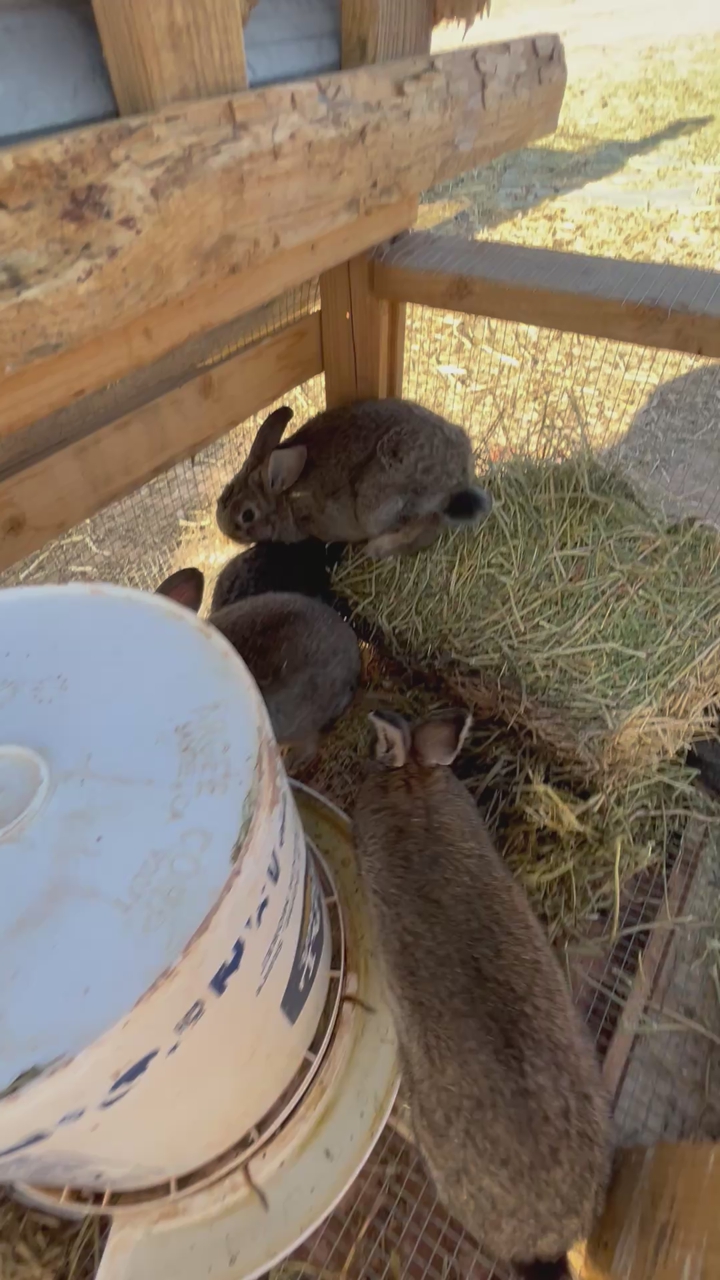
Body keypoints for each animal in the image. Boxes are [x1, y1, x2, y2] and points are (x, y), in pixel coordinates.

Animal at [216, 399, 492, 559]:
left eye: (247, 515)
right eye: (223, 496)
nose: (223, 527)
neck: (284, 496)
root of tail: (459, 474)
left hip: (380, 505)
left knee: (426, 527)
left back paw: (377, 550)